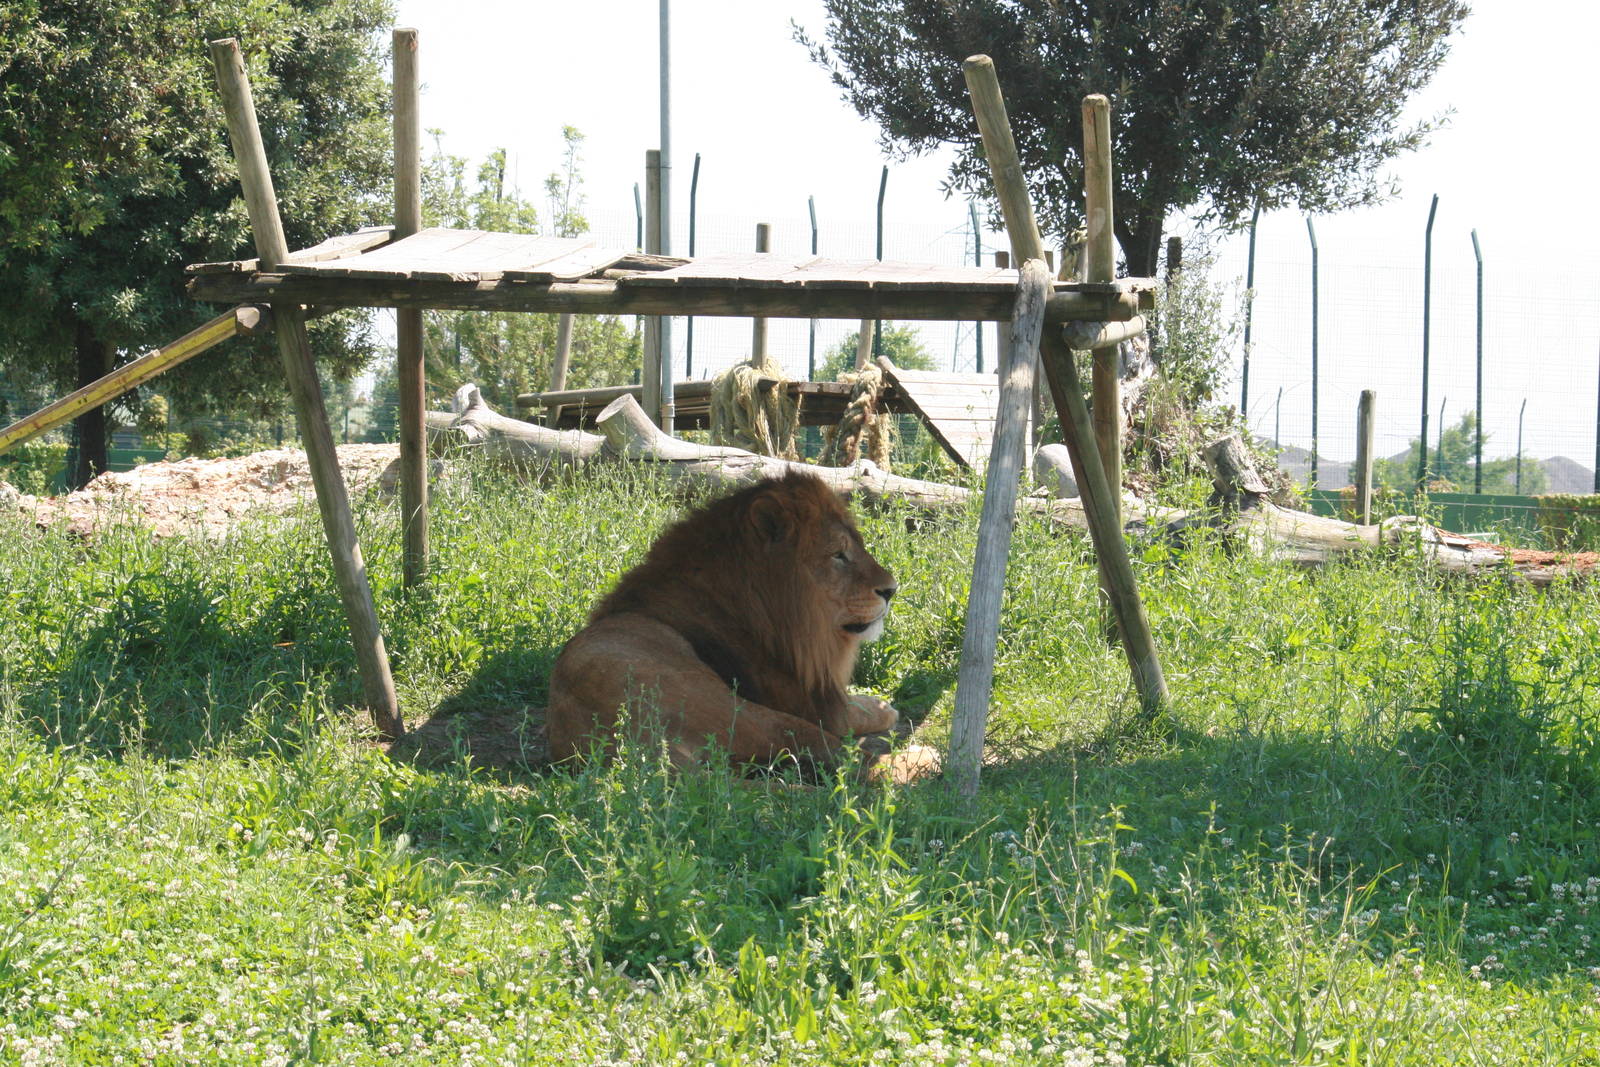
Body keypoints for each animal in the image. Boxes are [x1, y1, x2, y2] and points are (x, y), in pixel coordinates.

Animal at [546, 471, 938, 782]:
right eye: (838, 555)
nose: (891, 589)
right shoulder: (809, 704)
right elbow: (847, 714)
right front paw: (883, 709)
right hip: (734, 708)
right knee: (847, 760)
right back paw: (923, 759)